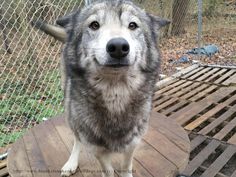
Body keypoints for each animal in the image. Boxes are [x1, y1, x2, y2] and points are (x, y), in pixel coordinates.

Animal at [33, 0, 170, 176]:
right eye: (94, 25)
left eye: (132, 25)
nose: (118, 46)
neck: (115, 97)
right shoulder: (97, 150)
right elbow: (108, 171)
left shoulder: (132, 144)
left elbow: (126, 167)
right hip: (71, 113)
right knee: (77, 138)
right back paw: (71, 163)